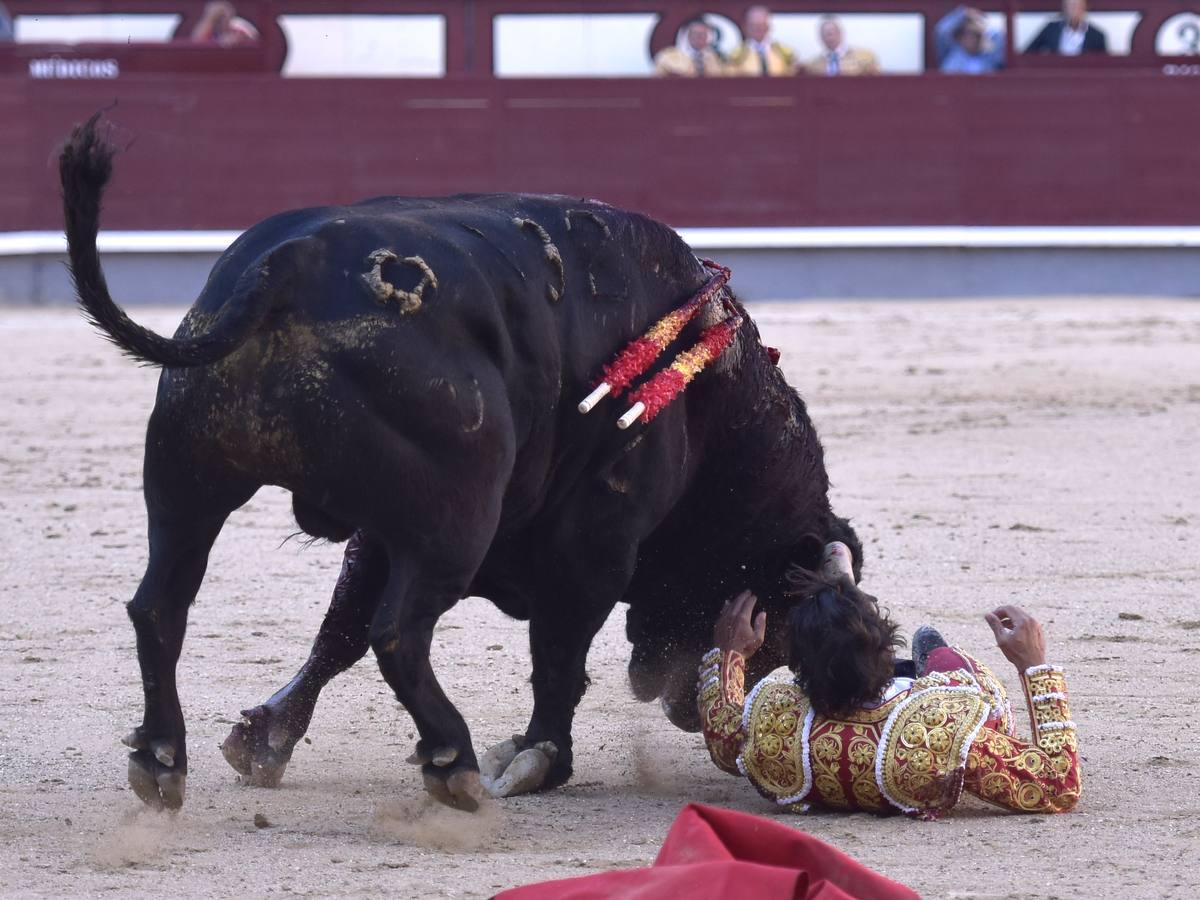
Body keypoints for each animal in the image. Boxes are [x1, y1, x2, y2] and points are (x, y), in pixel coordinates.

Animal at [60, 116, 864, 816]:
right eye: (776, 620)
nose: (692, 713)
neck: (713, 409)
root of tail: (294, 261)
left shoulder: (382, 533)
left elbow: (339, 633)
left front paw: (263, 740)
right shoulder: (595, 544)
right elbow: (559, 650)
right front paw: (539, 758)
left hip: (186, 481)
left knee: (161, 605)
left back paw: (162, 759)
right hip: (455, 523)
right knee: (399, 634)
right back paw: (455, 763)